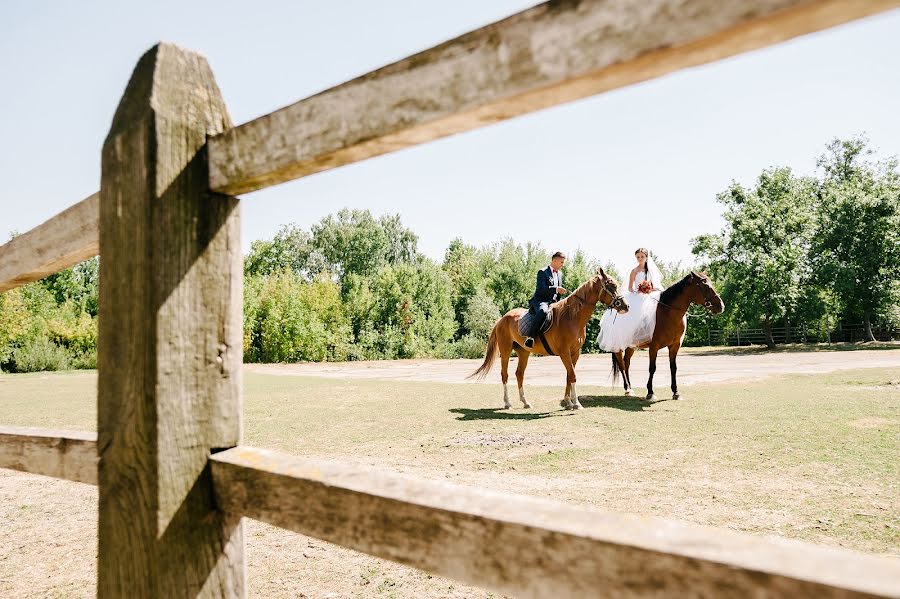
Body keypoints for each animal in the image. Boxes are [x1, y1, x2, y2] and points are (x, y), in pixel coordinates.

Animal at [472, 272, 624, 412]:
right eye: (612, 286)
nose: (625, 306)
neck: (572, 317)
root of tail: (502, 319)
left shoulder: (575, 353)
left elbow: (569, 375)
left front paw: (568, 402)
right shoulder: (564, 352)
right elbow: (573, 375)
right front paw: (576, 403)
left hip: (523, 352)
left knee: (519, 374)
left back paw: (525, 402)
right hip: (505, 350)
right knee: (505, 375)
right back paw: (507, 403)